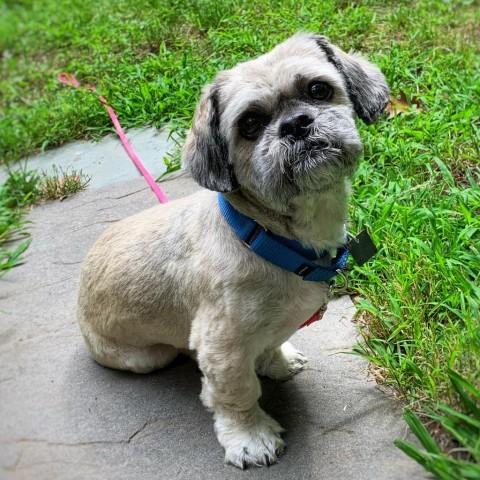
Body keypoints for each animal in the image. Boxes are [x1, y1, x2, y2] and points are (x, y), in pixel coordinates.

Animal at [77, 34, 388, 468]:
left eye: (318, 90)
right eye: (250, 125)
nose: (295, 124)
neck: (267, 237)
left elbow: (271, 344)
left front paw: (277, 361)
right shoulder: (223, 348)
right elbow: (237, 395)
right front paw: (250, 437)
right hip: (144, 355)